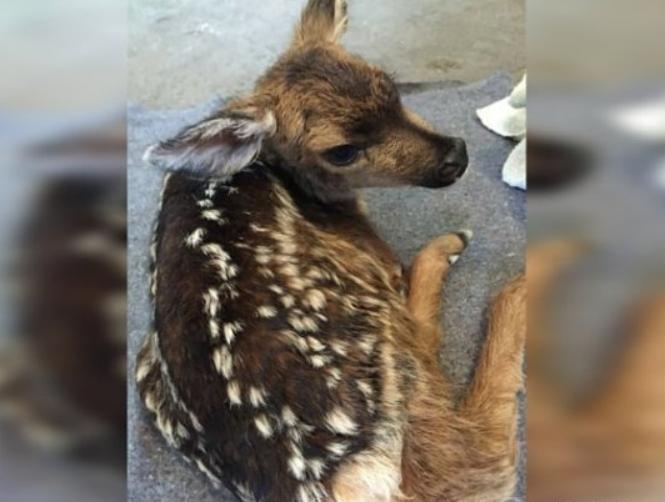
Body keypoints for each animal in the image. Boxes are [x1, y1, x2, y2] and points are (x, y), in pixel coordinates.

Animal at [135, 1, 526, 500]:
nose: (455, 156)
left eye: (391, 87)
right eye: (342, 152)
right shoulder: (370, 253)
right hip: (376, 336)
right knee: (477, 455)